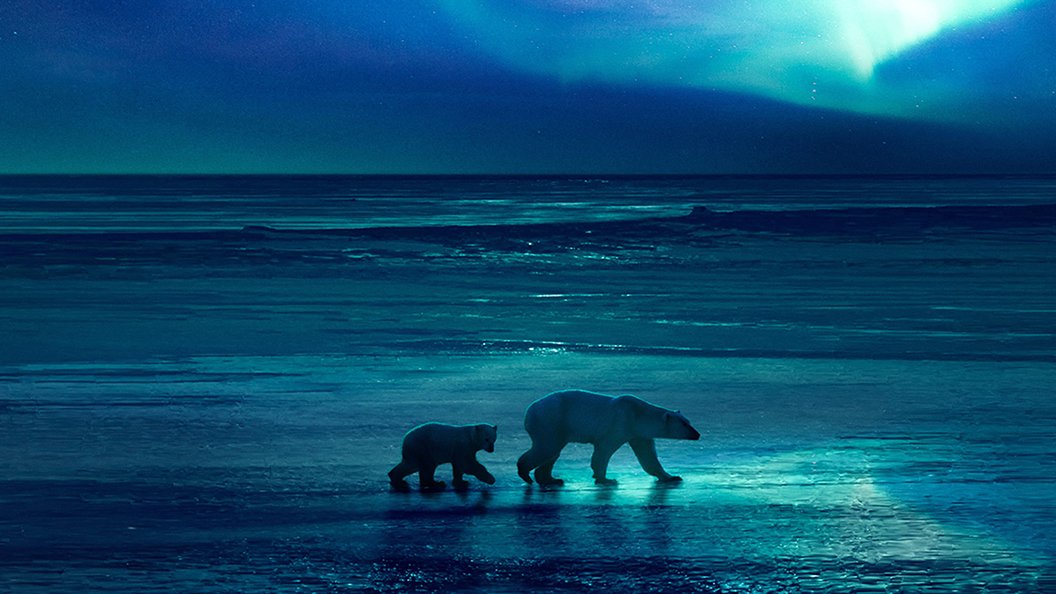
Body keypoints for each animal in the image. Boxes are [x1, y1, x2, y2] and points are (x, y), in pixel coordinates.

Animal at [519, 391, 701, 484]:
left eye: (688, 421)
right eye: (684, 424)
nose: (697, 434)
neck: (639, 415)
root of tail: (529, 410)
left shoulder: (638, 434)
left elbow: (648, 456)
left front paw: (672, 476)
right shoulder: (620, 423)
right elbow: (604, 450)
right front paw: (605, 478)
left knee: (551, 452)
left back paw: (550, 479)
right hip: (551, 421)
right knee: (547, 448)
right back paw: (526, 473)